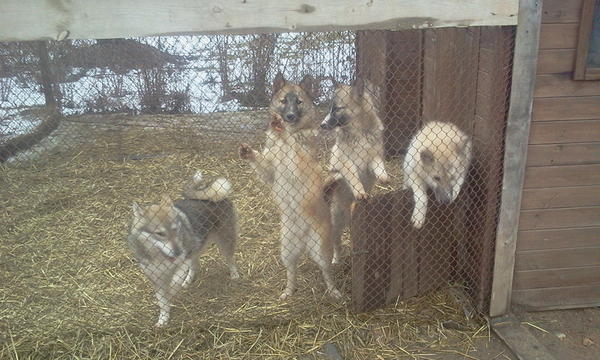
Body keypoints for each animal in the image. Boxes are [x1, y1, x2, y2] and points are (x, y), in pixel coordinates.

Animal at [126, 170, 239, 328]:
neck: (160, 257)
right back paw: (188, 281)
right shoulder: (156, 278)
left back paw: (234, 275)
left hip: (224, 242)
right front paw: (163, 320)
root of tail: (214, 195)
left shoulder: (184, 260)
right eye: (160, 234)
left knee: (229, 259)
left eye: (175, 229)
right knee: (195, 264)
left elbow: (174, 282)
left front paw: (172, 291)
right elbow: (162, 302)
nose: (178, 252)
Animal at [239, 114, 342, 300]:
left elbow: (290, 144)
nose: (276, 120)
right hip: (287, 252)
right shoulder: (268, 171)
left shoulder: (295, 163)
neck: (279, 150)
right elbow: (262, 165)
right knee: (291, 274)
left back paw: (333, 290)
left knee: (327, 272)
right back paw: (288, 291)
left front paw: (282, 129)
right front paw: (249, 153)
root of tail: (304, 242)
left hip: (321, 251)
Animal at [318, 76, 390, 262]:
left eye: (337, 108)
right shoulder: (347, 163)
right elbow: (353, 178)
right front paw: (359, 191)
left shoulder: (373, 158)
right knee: (336, 244)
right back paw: (336, 260)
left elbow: (379, 169)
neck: (359, 133)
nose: (322, 125)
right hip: (336, 223)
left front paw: (384, 178)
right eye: (331, 107)